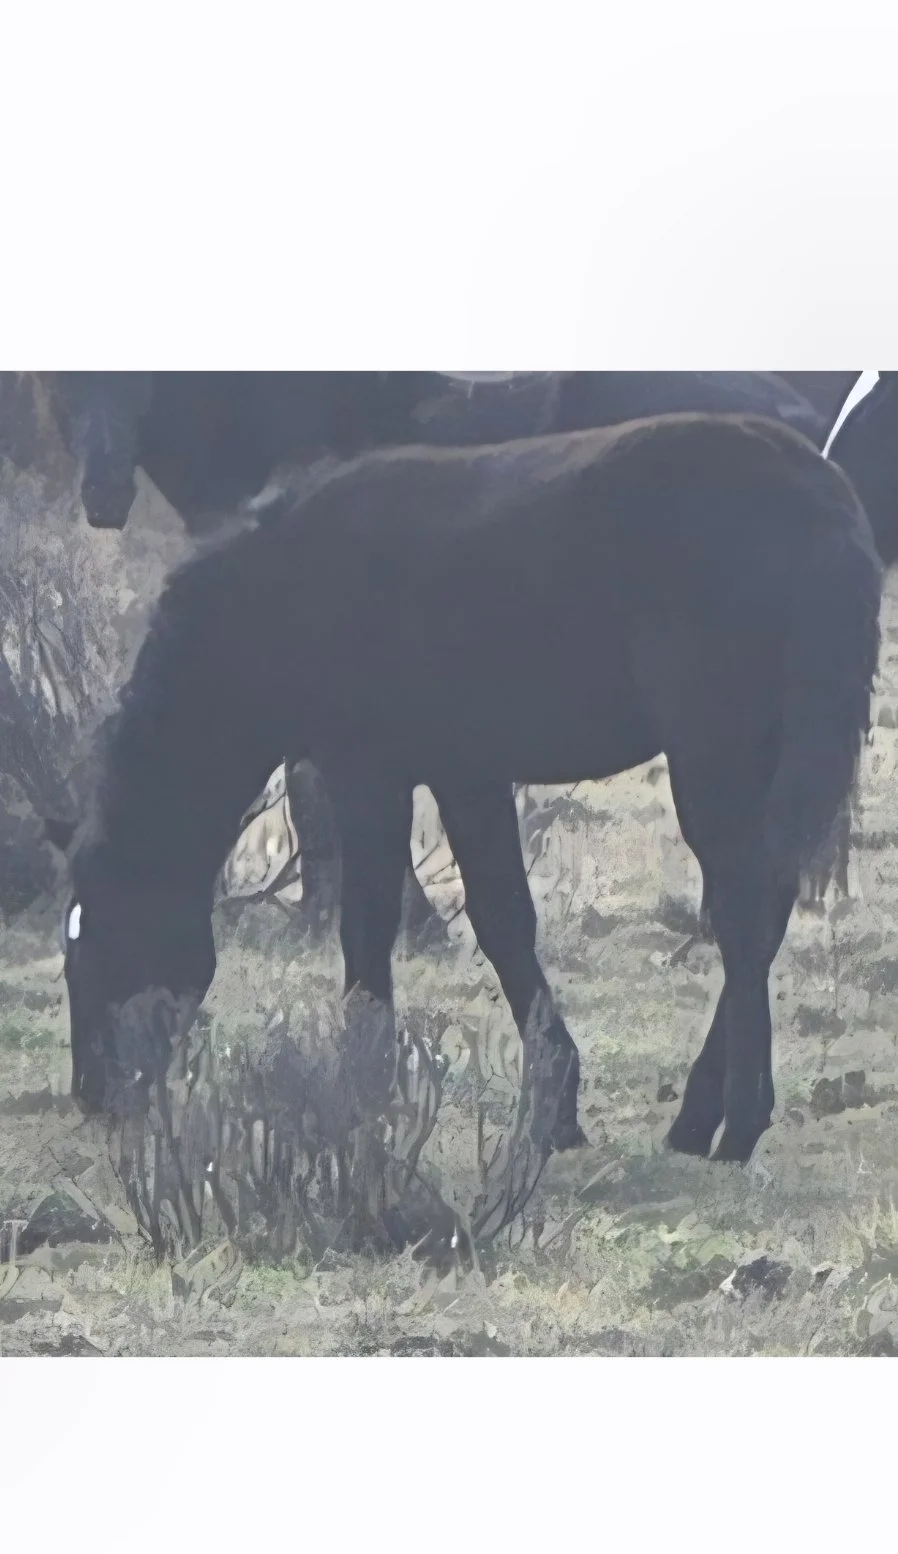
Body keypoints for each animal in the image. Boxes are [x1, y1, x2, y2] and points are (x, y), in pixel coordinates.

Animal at [60, 412, 881, 1180]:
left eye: (94, 948)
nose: (92, 1099)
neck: (286, 588)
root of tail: (823, 496)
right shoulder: (468, 775)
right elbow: (504, 920)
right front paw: (555, 1107)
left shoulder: (369, 777)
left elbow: (370, 929)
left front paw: (367, 1094)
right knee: (762, 909)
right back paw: (697, 1119)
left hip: (714, 757)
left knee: (743, 914)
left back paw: (736, 1124)